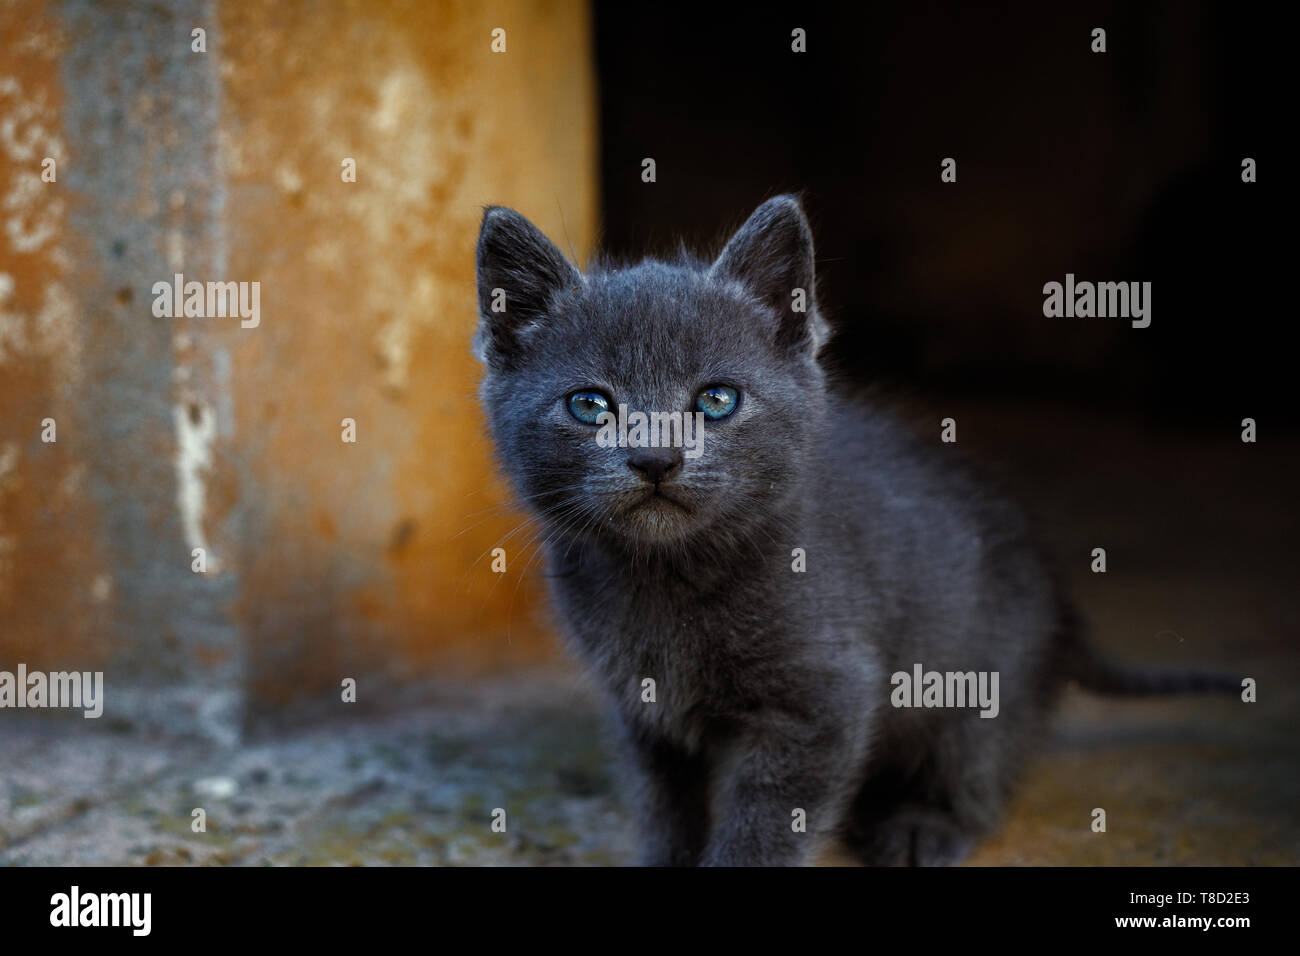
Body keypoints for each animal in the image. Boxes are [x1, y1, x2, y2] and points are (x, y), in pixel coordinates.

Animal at [473, 195, 1232, 868]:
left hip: (986, 675)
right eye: (590, 405)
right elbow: (664, 804)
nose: (656, 458)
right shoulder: (644, 710)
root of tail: (1062, 605)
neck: (667, 578)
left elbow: (766, 821)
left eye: (716, 400)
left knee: (981, 766)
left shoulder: (826, 699)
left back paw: (924, 826)